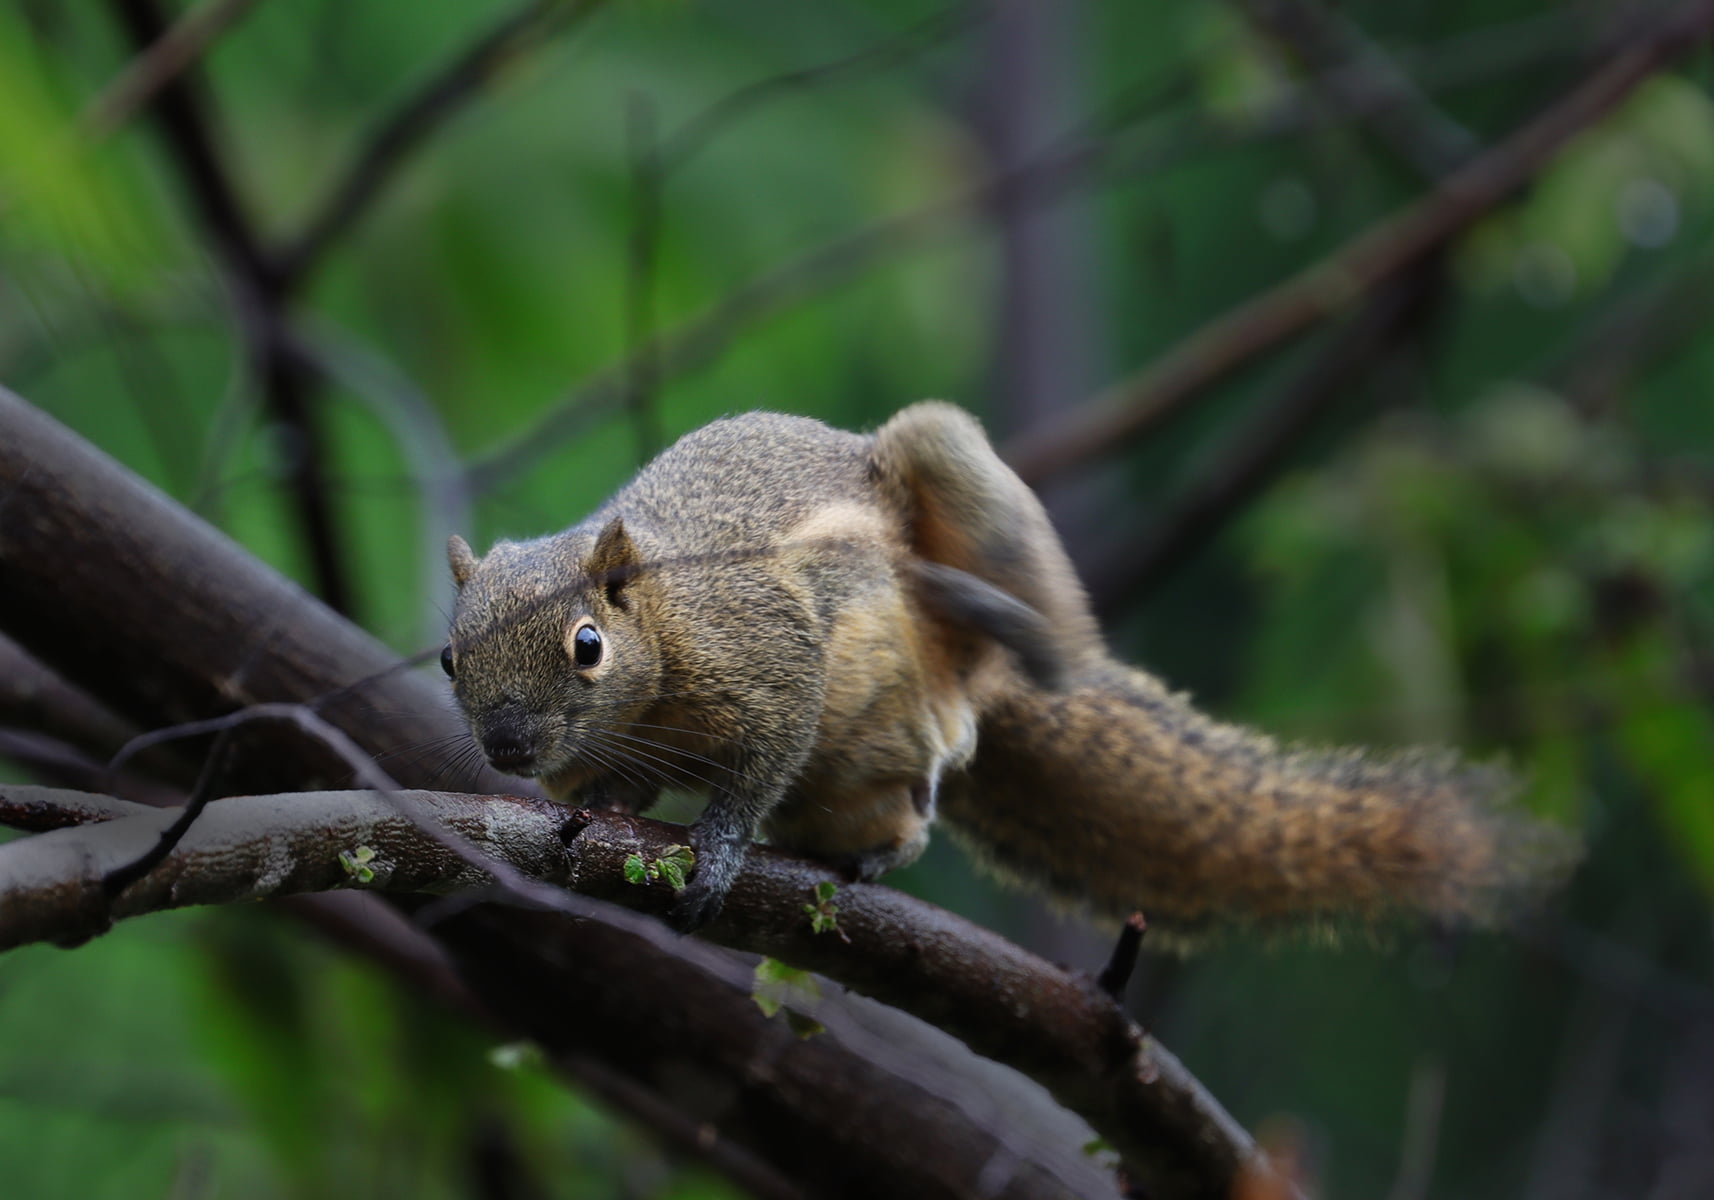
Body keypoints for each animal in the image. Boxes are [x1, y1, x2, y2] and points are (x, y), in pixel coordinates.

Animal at [443, 402, 1571, 933]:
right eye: (450, 656)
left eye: (586, 646)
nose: (506, 747)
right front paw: (584, 816)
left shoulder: (765, 647)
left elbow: (762, 756)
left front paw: (717, 849)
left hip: (951, 484)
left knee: (1027, 642)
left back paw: (1005, 626)